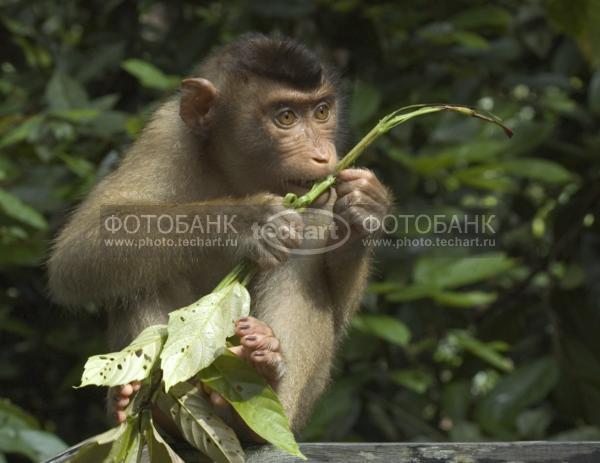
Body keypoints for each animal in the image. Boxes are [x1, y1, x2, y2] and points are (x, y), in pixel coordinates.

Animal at [49, 33, 392, 438]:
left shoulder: (324, 193)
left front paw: (365, 208)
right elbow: (83, 245)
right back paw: (151, 406)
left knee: (299, 262)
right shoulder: (165, 135)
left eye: (321, 111)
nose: (323, 156)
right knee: (141, 274)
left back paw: (258, 384)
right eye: (286, 117)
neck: (233, 175)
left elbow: (339, 311)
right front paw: (249, 222)